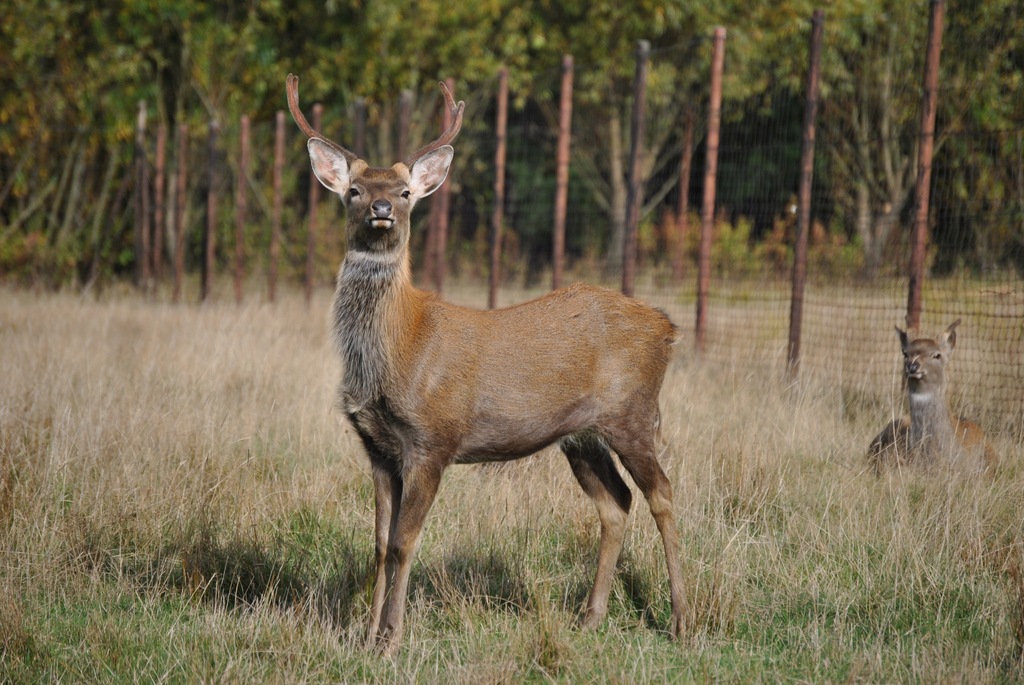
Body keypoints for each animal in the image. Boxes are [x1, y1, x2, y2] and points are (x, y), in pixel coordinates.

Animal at [286, 74, 688, 651]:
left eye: (404, 193)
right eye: (354, 191)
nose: (382, 210)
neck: (398, 351)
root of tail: (667, 328)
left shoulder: (433, 439)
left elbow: (405, 542)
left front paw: (391, 638)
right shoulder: (377, 447)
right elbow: (380, 543)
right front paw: (364, 634)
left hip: (632, 412)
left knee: (662, 494)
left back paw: (681, 619)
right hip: (581, 435)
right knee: (616, 503)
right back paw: (590, 616)